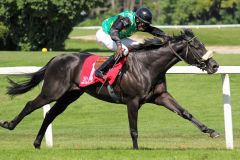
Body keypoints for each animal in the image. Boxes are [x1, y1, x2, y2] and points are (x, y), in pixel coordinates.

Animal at [0, 28, 220, 149]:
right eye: (197, 47)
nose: (215, 65)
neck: (148, 66)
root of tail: (56, 58)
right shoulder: (132, 101)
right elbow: (133, 129)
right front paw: (136, 150)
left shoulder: (160, 96)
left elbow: (185, 113)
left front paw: (211, 131)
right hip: (52, 91)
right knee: (30, 105)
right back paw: (9, 124)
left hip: (69, 95)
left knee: (50, 114)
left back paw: (37, 143)